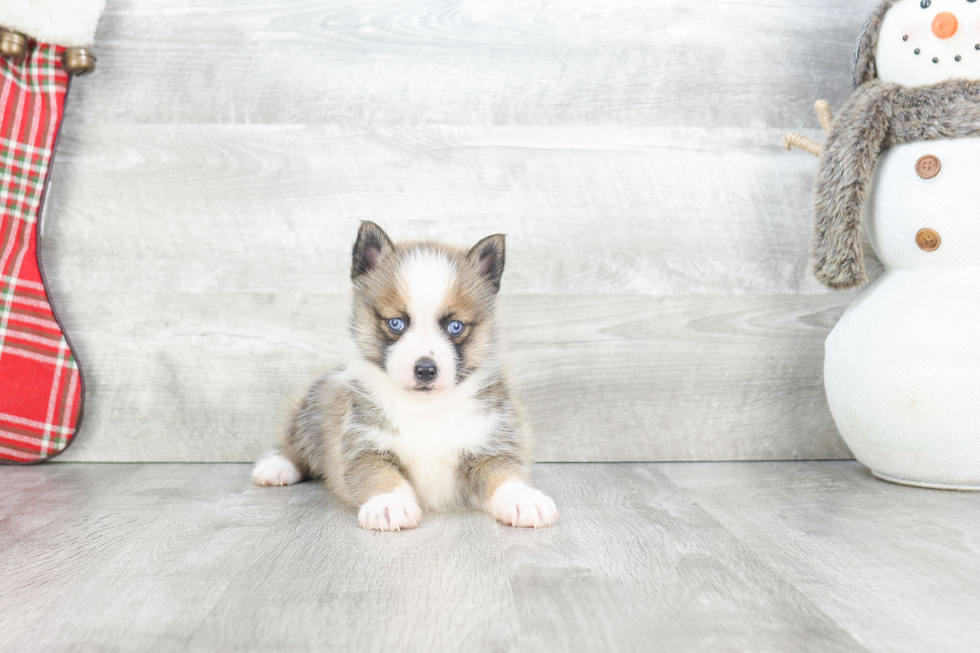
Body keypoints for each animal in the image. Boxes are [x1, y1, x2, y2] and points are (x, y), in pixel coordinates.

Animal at [253, 220, 560, 528]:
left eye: (456, 327)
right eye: (396, 323)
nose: (425, 370)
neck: (426, 410)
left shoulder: (491, 444)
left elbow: (504, 473)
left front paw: (523, 500)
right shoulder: (362, 448)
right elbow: (379, 476)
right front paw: (389, 504)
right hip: (317, 402)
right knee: (298, 443)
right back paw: (277, 465)